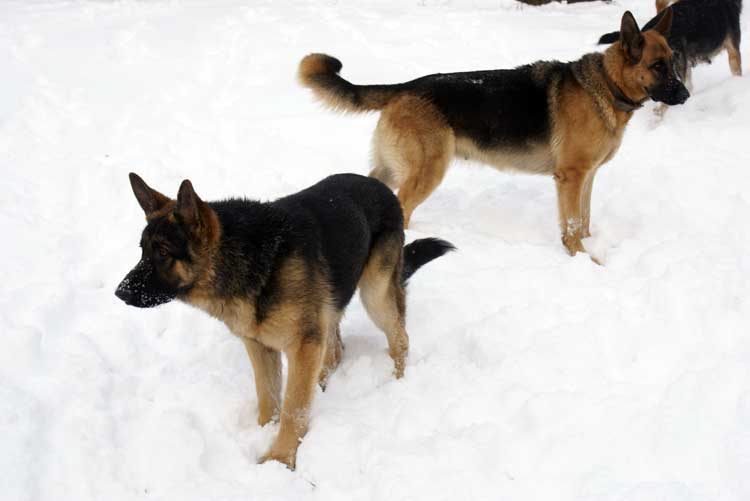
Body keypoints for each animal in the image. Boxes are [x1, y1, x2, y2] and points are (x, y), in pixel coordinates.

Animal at [111, 172, 452, 468]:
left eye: (163, 253)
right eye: (142, 251)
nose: (120, 292)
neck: (241, 258)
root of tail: (383, 188)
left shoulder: (303, 344)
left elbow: (293, 409)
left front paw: (280, 459)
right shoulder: (261, 346)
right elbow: (269, 399)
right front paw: (264, 432)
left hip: (375, 295)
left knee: (400, 337)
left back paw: (395, 380)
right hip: (330, 308)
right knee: (335, 349)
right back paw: (322, 383)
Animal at [296, 10, 692, 260]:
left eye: (672, 61)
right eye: (657, 66)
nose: (686, 96)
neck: (607, 85)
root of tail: (405, 87)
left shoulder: (588, 177)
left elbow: (585, 220)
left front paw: (589, 249)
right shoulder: (571, 177)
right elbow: (572, 226)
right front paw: (582, 259)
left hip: (393, 168)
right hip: (427, 170)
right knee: (403, 207)